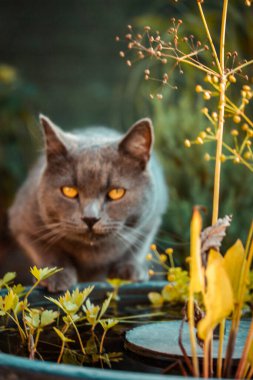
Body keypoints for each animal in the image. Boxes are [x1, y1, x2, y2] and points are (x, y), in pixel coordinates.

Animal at [8, 116, 168, 290]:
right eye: (69, 191)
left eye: (116, 192)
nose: (90, 218)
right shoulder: (23, 223)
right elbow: (46, 249)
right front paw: (56, 276)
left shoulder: (152, 219)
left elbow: (138, 246)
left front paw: (129, 271)